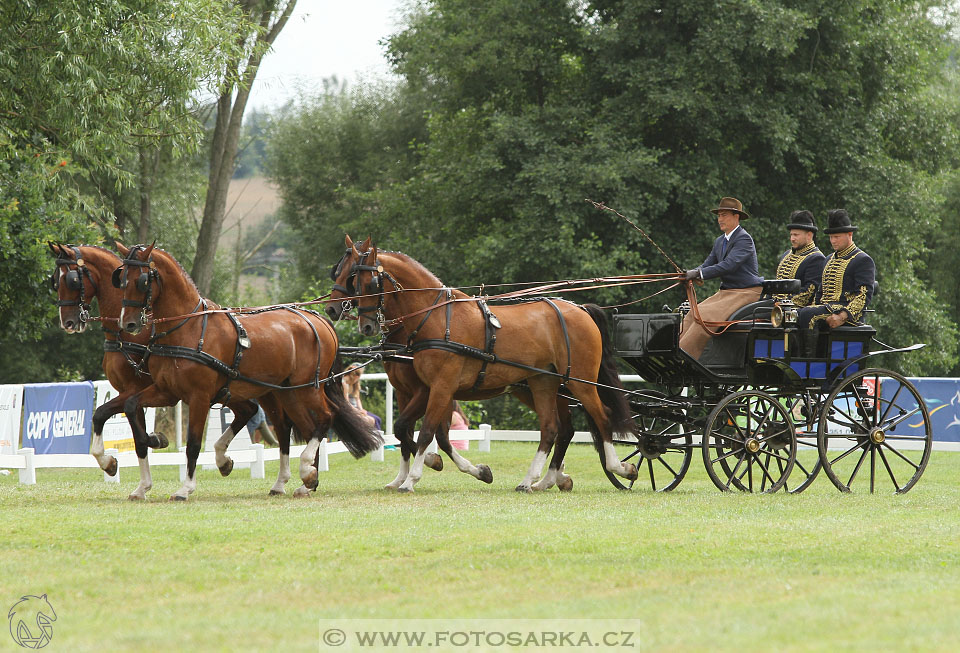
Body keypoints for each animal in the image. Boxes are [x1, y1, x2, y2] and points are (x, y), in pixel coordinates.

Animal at [48, 244, 294, 500]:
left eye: (73, 280)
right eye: (55, 281)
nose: (68, 322)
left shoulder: (140, 389)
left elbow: (138, 436)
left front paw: (153, 445)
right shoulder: (141, 391)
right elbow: (102, 415)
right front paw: (122, 470)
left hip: (267, 392)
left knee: (281, 425)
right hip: (233, 391)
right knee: (249, 411)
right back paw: (226, 461)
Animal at [115, 243, 378, 500]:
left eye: (143, 280)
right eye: (122, 278)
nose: (128, 323)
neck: (188, 327)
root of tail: (319, 320)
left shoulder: (199, 397)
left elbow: (193, 444)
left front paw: (185, 488)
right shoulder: (167, 391)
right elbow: (131, 405)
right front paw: (151, 449)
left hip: (307, 388)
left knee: (325, 418)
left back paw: (306, 472)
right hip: (287, 393)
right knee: (302, 428)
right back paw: (303, 482)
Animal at [326, 234, 632, 488]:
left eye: (367, 282)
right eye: (343, 275)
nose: (364, 325)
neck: (434, 318)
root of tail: (579, 309)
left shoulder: (438, 387)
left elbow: (425, 433)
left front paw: (413, 477)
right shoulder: (413, 390)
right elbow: (414, 432)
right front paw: (412, 474)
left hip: (581, 381)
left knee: (601, 417)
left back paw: (619, 468)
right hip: (542, 384)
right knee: (554, 428)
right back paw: (539, 480)